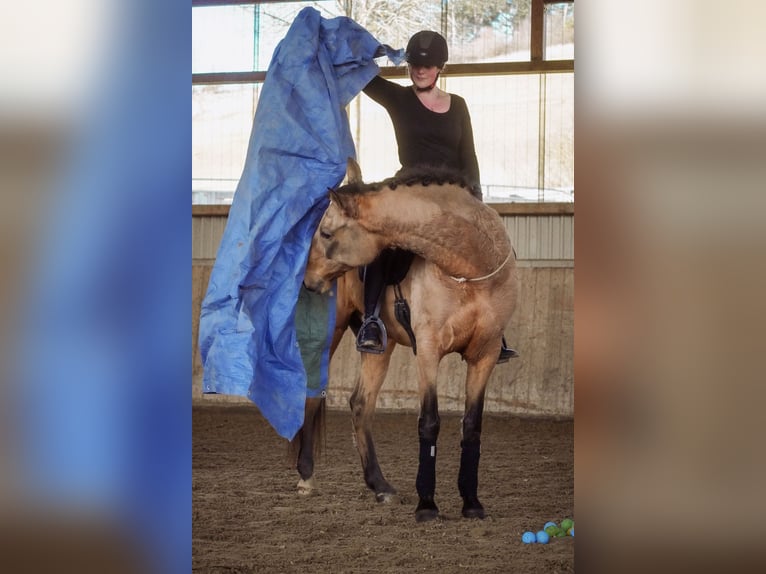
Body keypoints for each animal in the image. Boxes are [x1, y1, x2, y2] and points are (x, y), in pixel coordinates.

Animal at [294, 158, 518, 521]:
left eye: (326, 233)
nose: (307, 280)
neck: (469, 268)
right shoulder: (428, 351)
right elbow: (429, 422)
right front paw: (427, 505)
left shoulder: (483, 356)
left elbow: (472, 426)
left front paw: (472, 503)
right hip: (334, 333)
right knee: (313, 394)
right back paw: (306, 477)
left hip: (378, 349)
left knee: (361, 404)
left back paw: (380, 486)